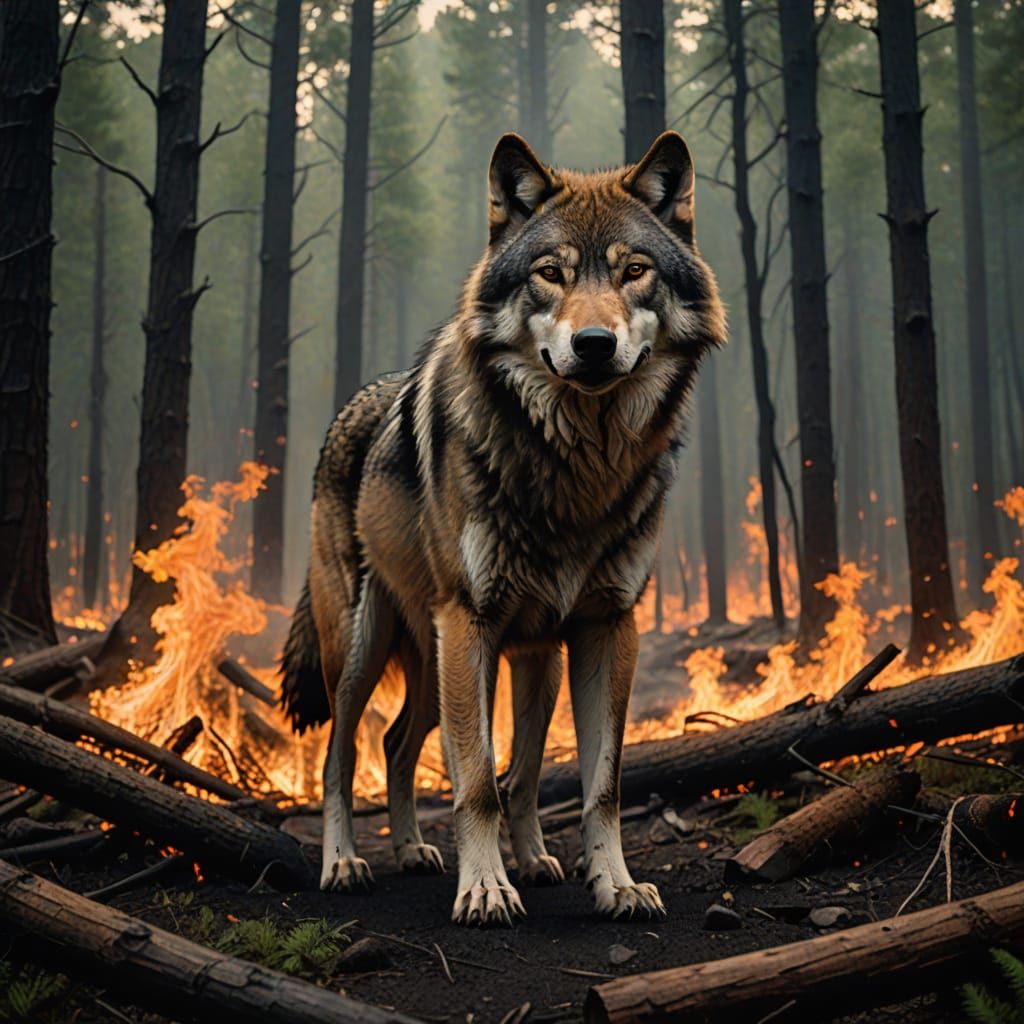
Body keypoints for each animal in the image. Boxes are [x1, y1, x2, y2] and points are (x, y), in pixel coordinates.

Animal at [280, 131, 726, 926]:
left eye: (634, 272)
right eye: (550, 274)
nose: (593, 343)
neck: (577, 469)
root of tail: (351, 408)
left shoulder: (608, 628)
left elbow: (597, 784)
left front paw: (614, 884)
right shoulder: (472, 623)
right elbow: (478, 782)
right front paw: (486, 889)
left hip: (511, 662)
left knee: (408, 745)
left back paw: (445, 852)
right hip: (368, 649)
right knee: (342, 754)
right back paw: (346, 864)